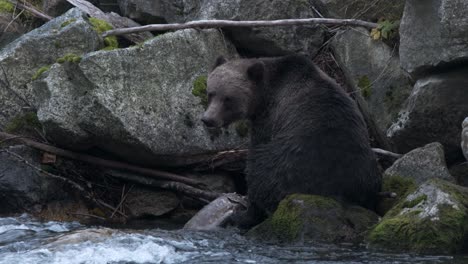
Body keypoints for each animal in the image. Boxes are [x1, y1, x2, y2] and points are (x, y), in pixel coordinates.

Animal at [201, 54, 380, 228]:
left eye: (228, 99)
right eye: (211, 93)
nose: (208, 119)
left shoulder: (269, 120)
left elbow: (257, 148)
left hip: (292, 165)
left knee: (260, 174)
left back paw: (240, 216)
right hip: (366, 171)